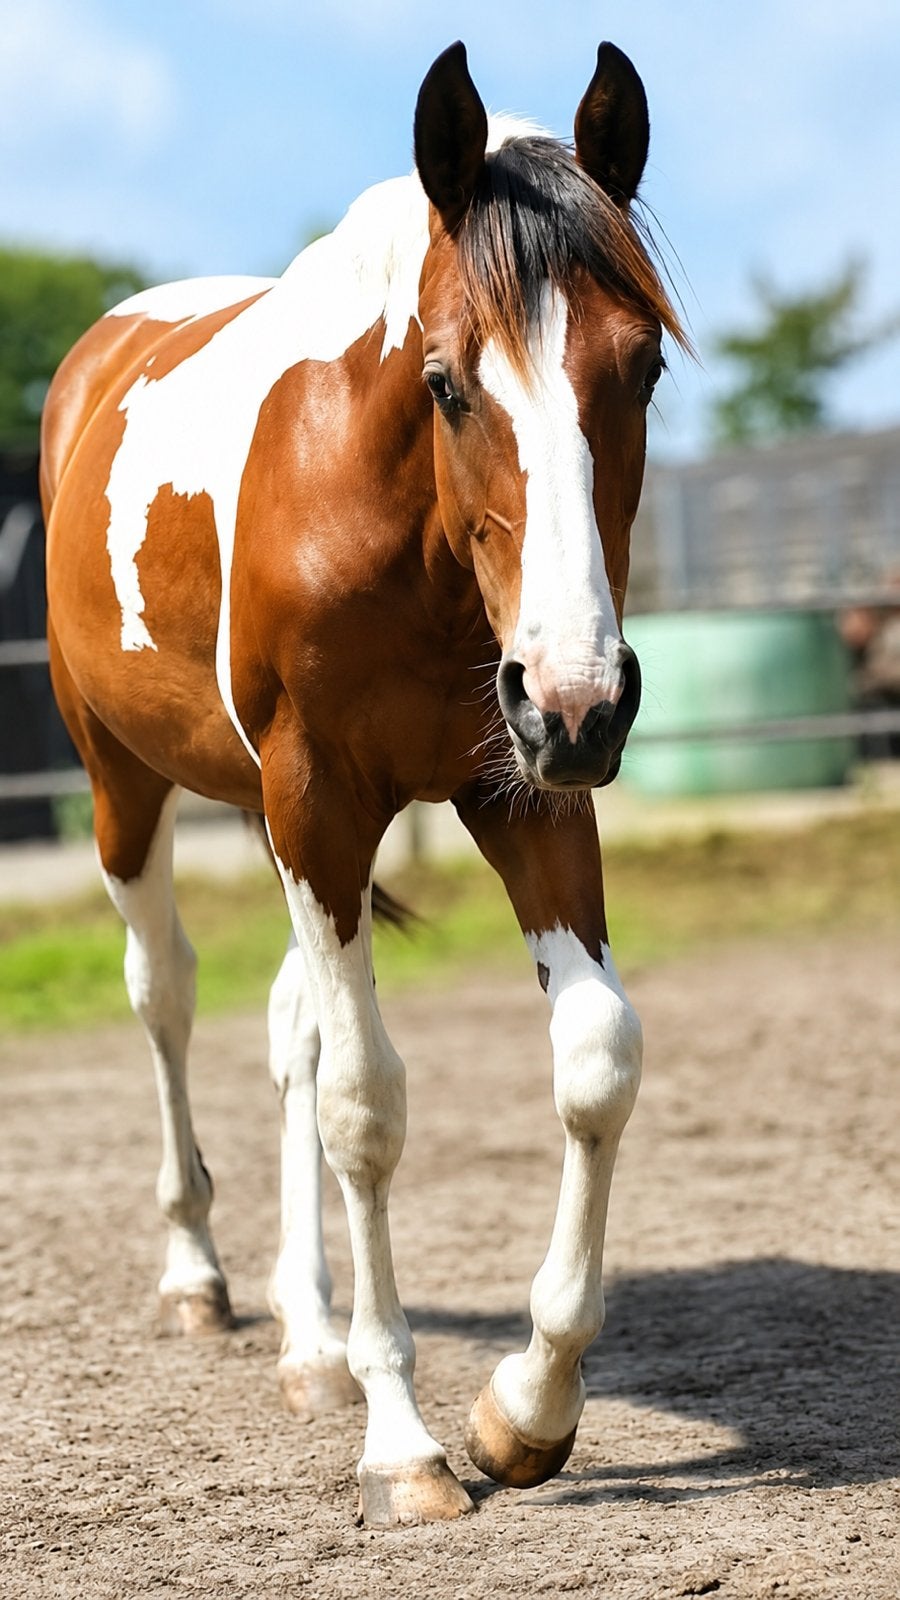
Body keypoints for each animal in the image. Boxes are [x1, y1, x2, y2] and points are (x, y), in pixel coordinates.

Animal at [41, 41, 687, 1527]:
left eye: (639, 370)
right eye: (448, 380)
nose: (582, 695)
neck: (405, 533)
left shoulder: (525, 796)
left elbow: (597, 1060)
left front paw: (525, 1409)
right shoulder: (320, 803)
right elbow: (366, 1107)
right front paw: (405, 1443)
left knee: (290, 1025)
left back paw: (312, 1336)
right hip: (130, 786)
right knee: (166, 998)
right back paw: (200, 1277)